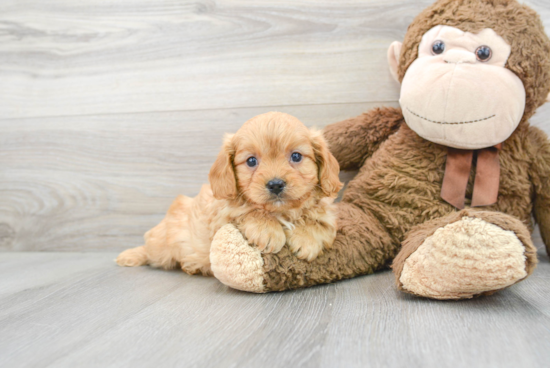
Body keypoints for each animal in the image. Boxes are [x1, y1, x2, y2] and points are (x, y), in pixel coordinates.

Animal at [117, 112, 342, 276]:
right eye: (251, 161)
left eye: (296, 156)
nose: (276, 184)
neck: (280, 212)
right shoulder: (220, 217)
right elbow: (249, 212)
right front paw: (268, 231)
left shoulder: (328, 215)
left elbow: (319, 223)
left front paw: (307, 240)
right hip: (162, 245)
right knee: (150, 248)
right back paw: (130, 255)